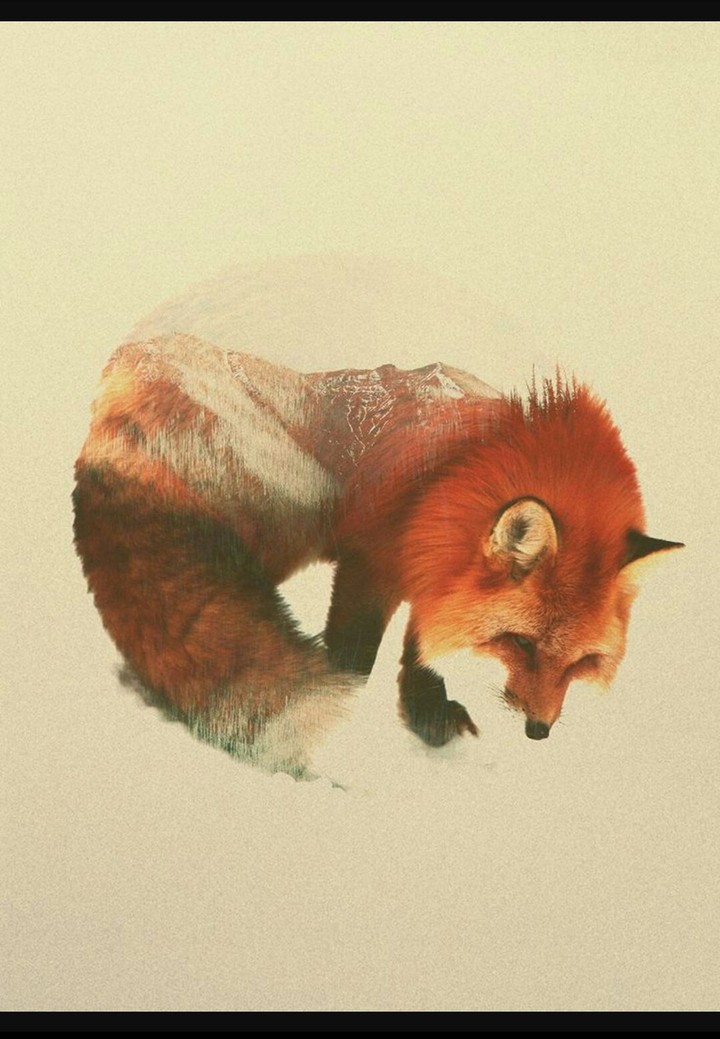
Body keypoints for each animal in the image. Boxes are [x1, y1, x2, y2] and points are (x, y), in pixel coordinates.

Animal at [73, 287, 682, 778]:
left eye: (581, 662)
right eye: (520, 643)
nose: (540, 730)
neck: (457, 476)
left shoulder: (434, 577)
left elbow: (421, 649)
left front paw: (426, 715)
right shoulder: (371, 565)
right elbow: (353, 655)